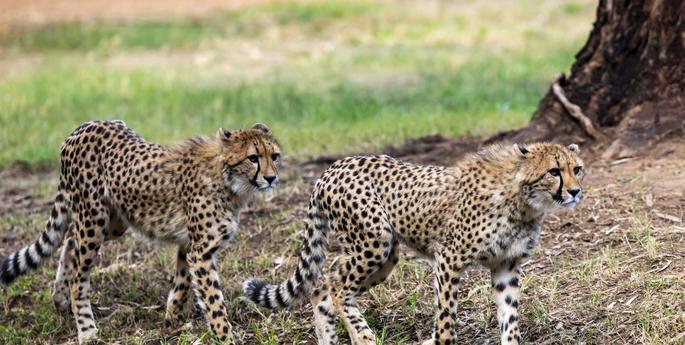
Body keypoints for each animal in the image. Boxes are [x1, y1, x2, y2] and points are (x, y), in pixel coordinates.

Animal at [0, 119, 280, 342]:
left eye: (274, 156)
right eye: (253, 158)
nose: (271, 178)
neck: (229, 181)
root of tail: (84, 126)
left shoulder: (189, 245)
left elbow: (182, 284)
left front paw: (171, 321)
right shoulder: (201, 250)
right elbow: (213, 300)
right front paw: (225, 336)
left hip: (114, 221)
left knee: (69, 238)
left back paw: (59, 299)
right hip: (93, 218)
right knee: (79, 275)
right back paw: (86, 329)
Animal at [243, 141, 584, 342]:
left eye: (577, 169)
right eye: (554, 171)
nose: (576, 191)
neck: (522, 199)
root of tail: (333, 166)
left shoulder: (506, 266)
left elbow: (510, 319)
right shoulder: (448, 258)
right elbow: (446, 320)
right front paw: (437, 339)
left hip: (386, 257)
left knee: (321, 287)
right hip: (373, 242)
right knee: (335, 283)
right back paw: (363, 336)